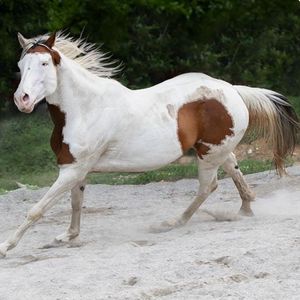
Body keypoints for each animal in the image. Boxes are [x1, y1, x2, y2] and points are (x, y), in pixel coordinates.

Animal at [1, 31, 298, 258]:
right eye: (21, 65)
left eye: (44, 64)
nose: (22, 100)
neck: (85, 108)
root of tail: (232, 89)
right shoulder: (76, 169)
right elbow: (76, 204)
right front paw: (67, 236)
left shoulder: (72, 170)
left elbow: (36, 210)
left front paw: (6, 247)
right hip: (215, 149)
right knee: (235, 170)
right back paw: (245, 209)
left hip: (209, 155)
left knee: (208, 186)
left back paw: (172, 222)